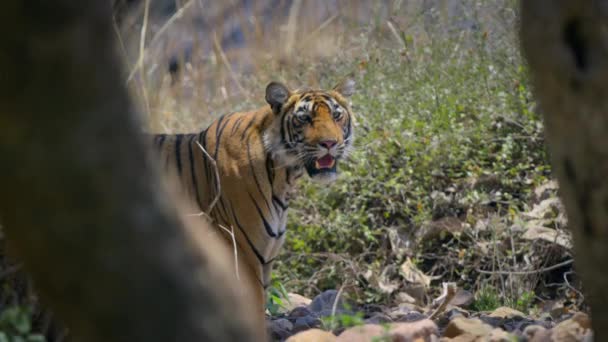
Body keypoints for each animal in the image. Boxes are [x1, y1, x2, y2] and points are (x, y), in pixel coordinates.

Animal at [149, 79, 354, 328]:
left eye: (336, 115)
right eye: (305, 118)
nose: (330, 143)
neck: (284, 177)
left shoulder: (266, 255)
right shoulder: (244, 251)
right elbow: (254, 308)